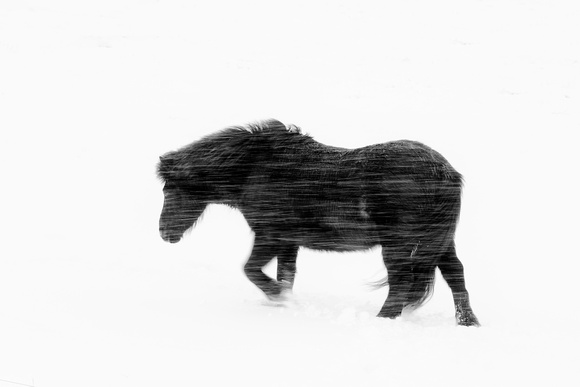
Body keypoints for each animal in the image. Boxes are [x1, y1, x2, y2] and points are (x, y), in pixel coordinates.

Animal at [156, 119, 478, 328]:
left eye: (171, 189)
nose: (163, 232)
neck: (255, 167)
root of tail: (446, 172)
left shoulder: (269, 235)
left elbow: (251, 269)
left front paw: (277, 297)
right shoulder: (288, 241)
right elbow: (286, 275)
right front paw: (283, 300)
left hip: (398, 244)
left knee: (401, 283)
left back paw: (382, 320)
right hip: (439, 241)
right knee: (455, 274)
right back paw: (467, 321)